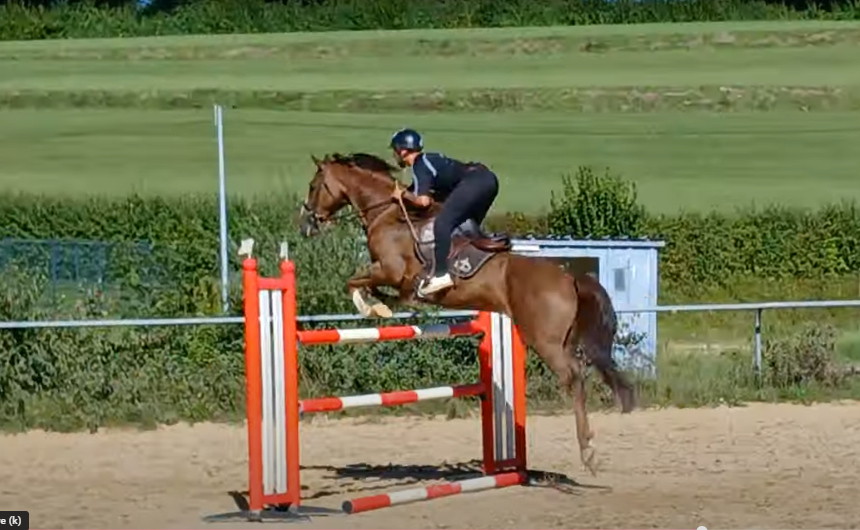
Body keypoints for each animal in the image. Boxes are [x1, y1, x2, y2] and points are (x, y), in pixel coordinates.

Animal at [299, 152, 636, 474]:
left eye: (314, 186)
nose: (307, 224)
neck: (387, 214)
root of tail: (569, 278)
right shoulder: (394, 279)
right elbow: (385, 291)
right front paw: (386, 304)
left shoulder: (389, 271)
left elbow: (353, 281)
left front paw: (373, 306)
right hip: (562, 339)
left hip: (545, 341)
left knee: (574, 377)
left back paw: (588, 451)